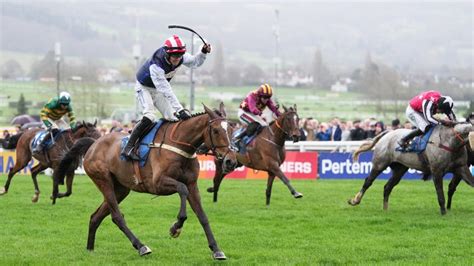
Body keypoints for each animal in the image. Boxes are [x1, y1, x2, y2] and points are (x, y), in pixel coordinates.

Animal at [51, 104, 237, 260]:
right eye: (215, 131)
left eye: (231, 129)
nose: (230, 161)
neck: (180, 146)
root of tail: (94, 144)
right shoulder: (158, 183)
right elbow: (181, 189)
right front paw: (175, 227)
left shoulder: (193, 185)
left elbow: (202, 216)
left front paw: (216, 249)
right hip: (103, 181)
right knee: (117, 217)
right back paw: (141, 246)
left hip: (120, 189)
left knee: (96, 216)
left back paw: (90, 248)